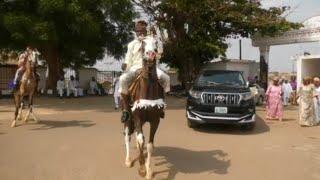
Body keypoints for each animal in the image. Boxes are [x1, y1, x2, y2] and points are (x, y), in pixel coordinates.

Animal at [124, 36, 166, 179]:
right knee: (127, 136)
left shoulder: (155, 120)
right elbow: (140, 140)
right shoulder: (137, 118)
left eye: (156, 43)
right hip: (128, 118)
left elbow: (149, 145)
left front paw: (148, 170)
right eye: (142, 44)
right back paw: (128, 160)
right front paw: (142, 168)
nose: (151, 54)